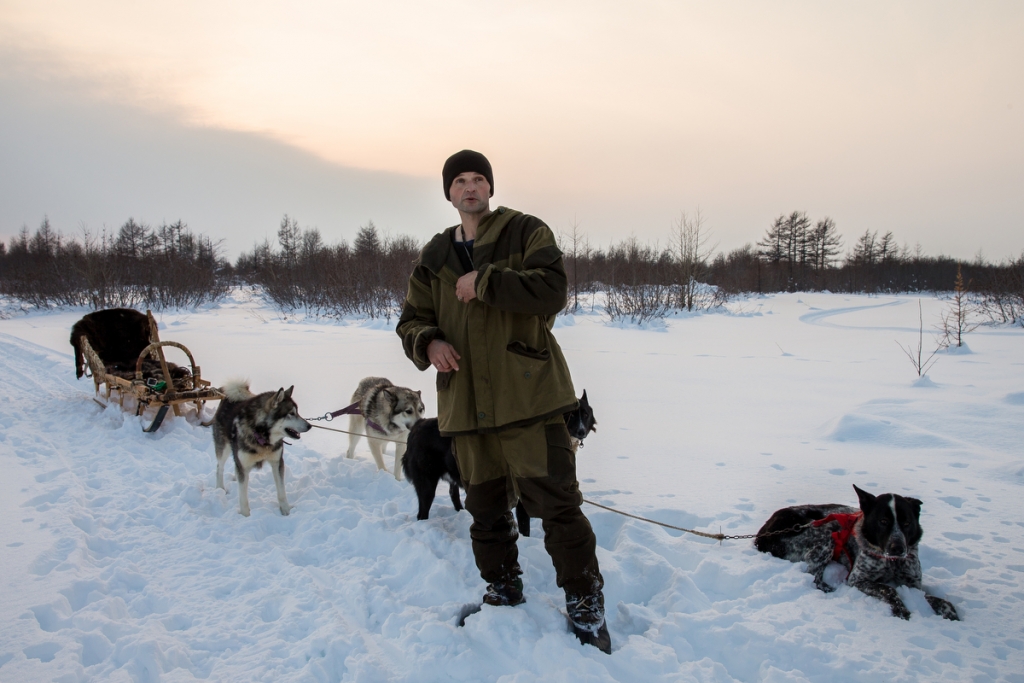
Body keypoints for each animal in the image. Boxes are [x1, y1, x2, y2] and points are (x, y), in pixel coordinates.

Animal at [212, 378, 309, 518]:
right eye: (291, 413)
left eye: (298, 412)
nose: (310, 425)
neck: (262, 437)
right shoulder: (243, 464)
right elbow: (243, 497)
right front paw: (245, 516)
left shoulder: (277, 462)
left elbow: (281, 491)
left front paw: (286, 511)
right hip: (223, 448)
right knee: (220, 467)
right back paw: (220, 488)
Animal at [397, 389, 598, 532]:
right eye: (571, 415)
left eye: (585, 414)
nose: (581, 431)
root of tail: (416, 427)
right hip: (427, 483)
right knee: (423, 510)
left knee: (454, 495)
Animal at [753, 483, 958, 622]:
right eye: (883, 521)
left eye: (907, 523)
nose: (898, 548)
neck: (891, 562)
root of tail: (763, 532)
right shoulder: (857, 579)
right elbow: (889, 588)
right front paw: (900, 609)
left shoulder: (913, 584)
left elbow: (935, 599)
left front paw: (949, 611)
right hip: (826, 533)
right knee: (812, 574)